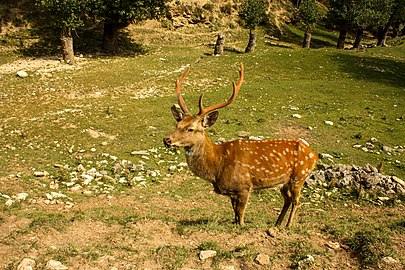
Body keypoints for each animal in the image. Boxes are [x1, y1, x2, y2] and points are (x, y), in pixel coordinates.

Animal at [163, 64, 318, 227]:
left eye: (191, 129)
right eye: (177, 124)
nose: (167, 140)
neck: (218, 167)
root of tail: (314, 154)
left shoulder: (244, 187)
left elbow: (241, 214)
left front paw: (242, 226)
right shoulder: (232, 192)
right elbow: (235, 214)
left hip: (299, 177)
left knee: (296, 201)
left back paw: (287, 226)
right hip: (284, 182)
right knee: (287, 200)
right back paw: (277, 224)